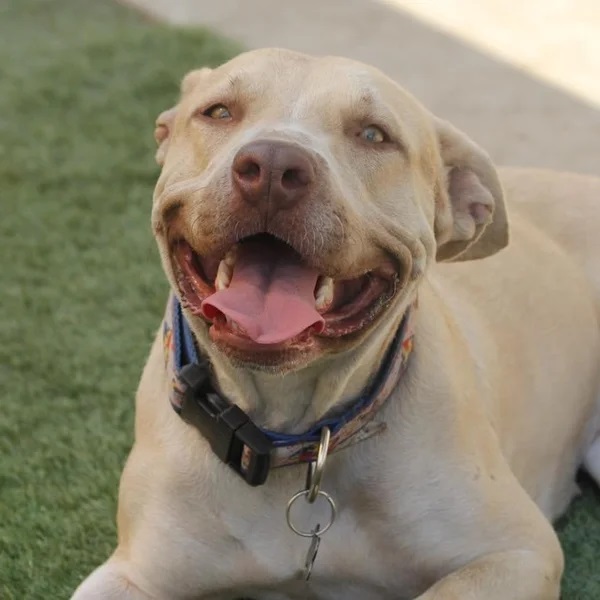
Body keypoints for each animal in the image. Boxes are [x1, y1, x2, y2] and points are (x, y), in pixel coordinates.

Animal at [71, 49, 600, 596]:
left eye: (373, 134)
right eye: (218, 112)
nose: (272, 166)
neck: (291, 434)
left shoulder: (517, 551)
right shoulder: (132, 574)